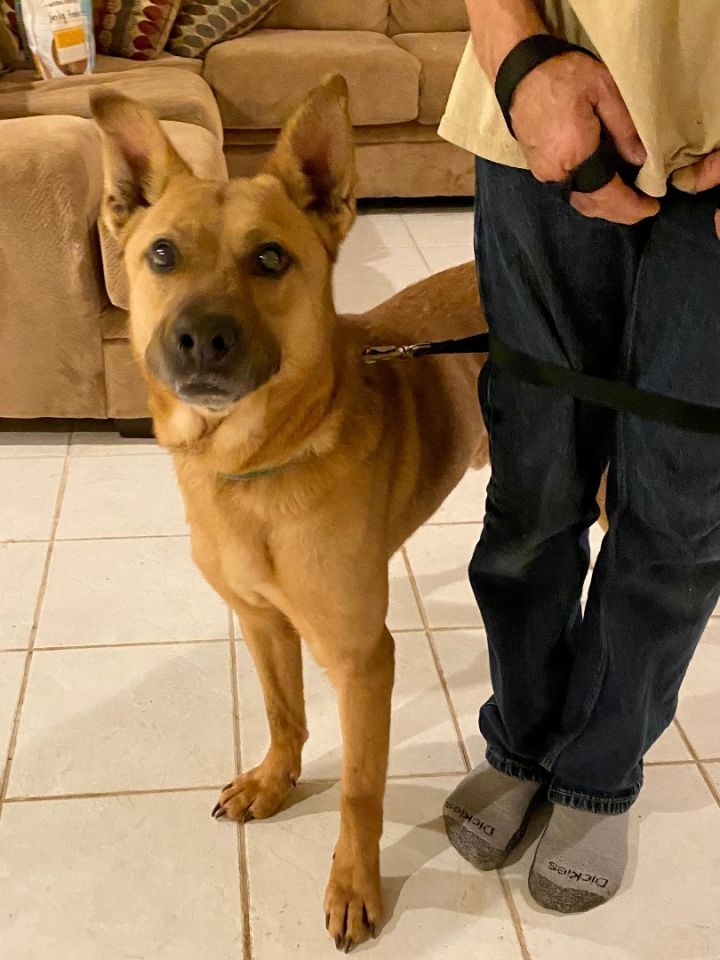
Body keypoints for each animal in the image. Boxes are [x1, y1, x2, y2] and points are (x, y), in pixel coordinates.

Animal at [88, 79, 484, 948]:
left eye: (270, 257)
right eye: (160, 255)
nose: (201, 338)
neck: (257, 469)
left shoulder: (363, 658)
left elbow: (361, 791)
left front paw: (355, 883)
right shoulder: (263, 623)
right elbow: (282, 713)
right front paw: (275, 782)